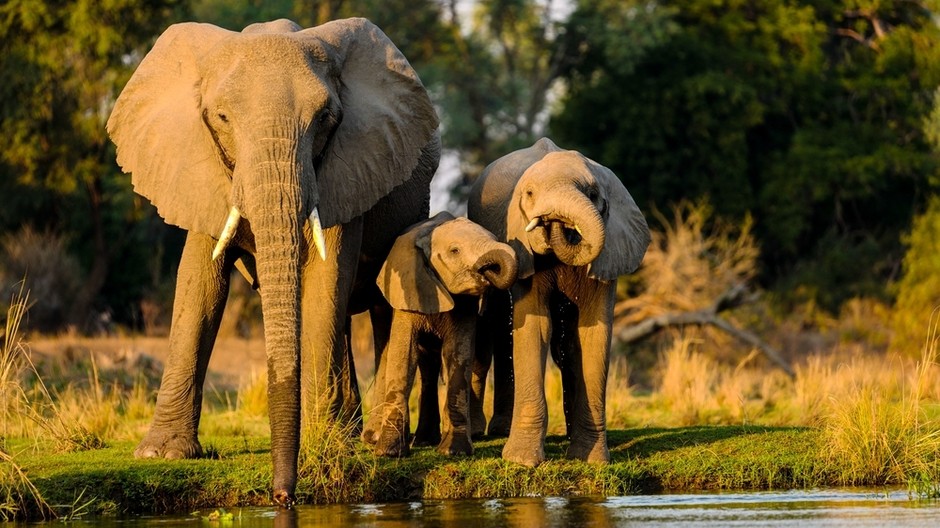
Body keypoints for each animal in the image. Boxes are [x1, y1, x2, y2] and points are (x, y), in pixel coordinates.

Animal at [106, 18, 440, 506]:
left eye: (326, 119)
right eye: (222, 118)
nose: (283, 497)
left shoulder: (346, 168)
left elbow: (325, 278)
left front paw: (324, 446)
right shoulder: (199, 168)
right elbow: (199, 286)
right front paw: (160, 455)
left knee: (382, 307)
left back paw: (377, 441)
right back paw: (350, 431)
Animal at [370, 212, 517, 457]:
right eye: (454, 251)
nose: (488, 271)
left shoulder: (465, 304)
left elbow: (457, 355)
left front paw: (453, 452)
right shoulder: (409, 291)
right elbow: (404, 355)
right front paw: (389, 452)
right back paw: (421, 441)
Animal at [466, 137, 650, 467]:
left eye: (593, 194)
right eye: (529, 194)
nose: (554, 220)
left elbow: (593, 334)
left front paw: (592, 460)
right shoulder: (522, 248)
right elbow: (534, 326)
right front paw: (522, 461)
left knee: (563, 346)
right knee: (496, 327)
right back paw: (489, 431)